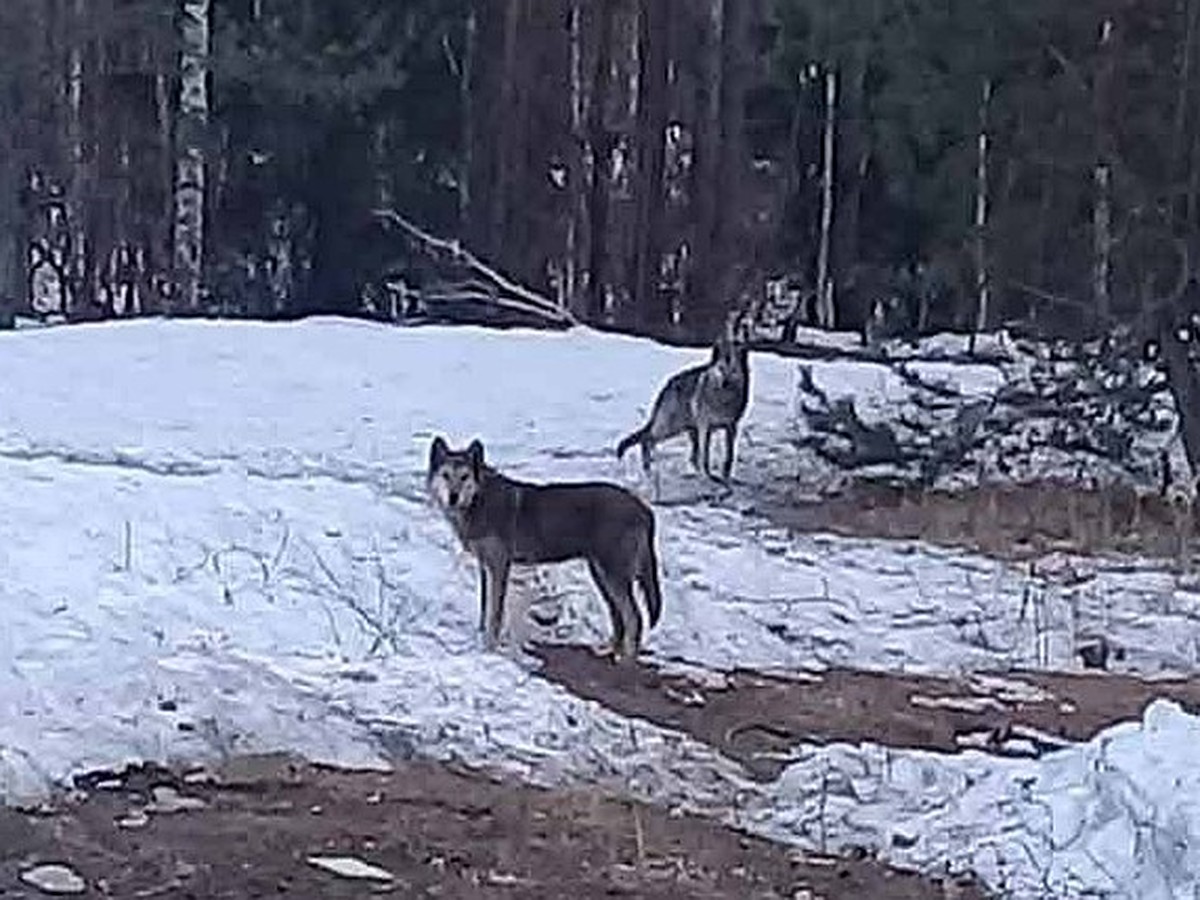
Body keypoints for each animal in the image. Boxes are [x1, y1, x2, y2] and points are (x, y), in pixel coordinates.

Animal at [424, 436, 667, 662]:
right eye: (445, 475)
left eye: (464, 477)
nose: (453, 497)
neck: (479, 500)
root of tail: (645, 509)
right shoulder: (485, 568)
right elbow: (485, 611)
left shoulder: (500, 567)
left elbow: (495, 615)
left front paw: (490, 649)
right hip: (601, 573)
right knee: (617, 615)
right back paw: (609, 650)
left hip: (613, 574)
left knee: (634, 618)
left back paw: (627, 660)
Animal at [619, 316, 748, 487]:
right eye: (720, 369)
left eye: (733, 371)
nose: (725, 383)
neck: (723, 398)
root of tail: (667, 385)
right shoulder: (705, 427)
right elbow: (705, 456)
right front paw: (709, 478)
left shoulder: (731, 427)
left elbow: (729, 456)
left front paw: (726, 478)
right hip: (671, 427)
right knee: (647, 439)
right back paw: (648, 468)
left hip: (688, 429)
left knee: (690, 456)